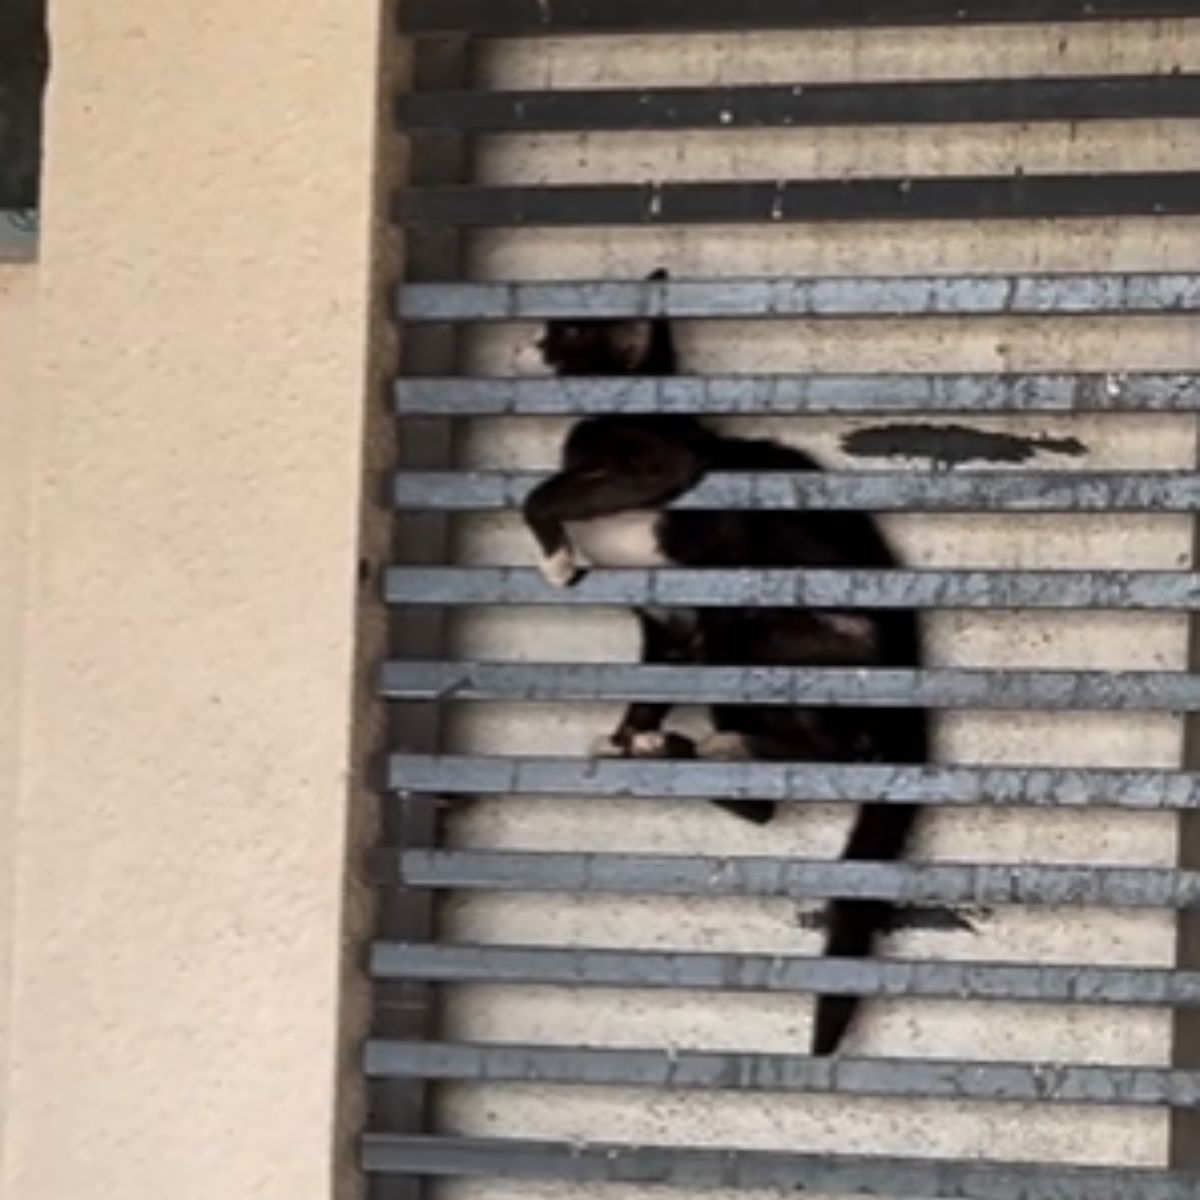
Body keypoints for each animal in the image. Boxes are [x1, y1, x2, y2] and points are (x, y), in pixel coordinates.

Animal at [523, 274, 926, 1060]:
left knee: (816, 764)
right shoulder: (663, 625)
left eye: (570, 329)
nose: (525, 340)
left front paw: (555, 557)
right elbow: (650, 683)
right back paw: (663, 748)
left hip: (757, 625)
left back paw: (714, 747)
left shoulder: (660, 465)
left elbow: (545, 489)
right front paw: (629, 732)